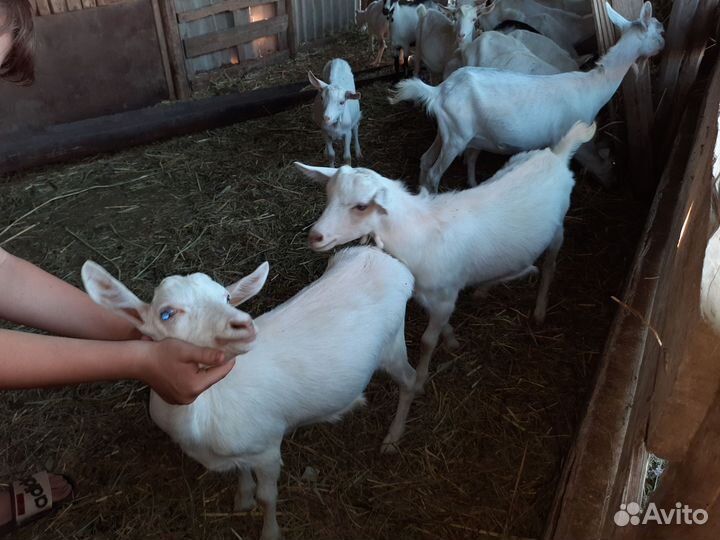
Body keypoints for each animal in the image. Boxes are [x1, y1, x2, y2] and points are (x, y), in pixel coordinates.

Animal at [82, 246, 417, 540]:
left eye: (227, 297)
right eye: (167, 314)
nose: (243, 325)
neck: (202, 415)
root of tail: (380, 257)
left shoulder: (267, 447)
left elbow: (268, 496)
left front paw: (270, 532)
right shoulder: (241, 449)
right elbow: (241, 472)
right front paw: (242, 499)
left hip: (392, 344)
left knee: (410, 381)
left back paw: (393, 437)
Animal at [296, 121, 595, 392]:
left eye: (361, 206)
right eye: (328, 196)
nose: (316, 236)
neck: (419, 233)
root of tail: (557, 155)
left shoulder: (444, 294)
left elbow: (428, 340)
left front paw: (422, 376)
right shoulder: (431, 294)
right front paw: (451, 339)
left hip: (558, 229)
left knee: (550, 264)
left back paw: (540, 308)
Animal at [389, 1, 664, 192]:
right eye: (657, 31)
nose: (615, 185)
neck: (592, 86)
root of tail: (438, 91)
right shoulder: (574, 140)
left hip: (446, 133)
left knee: (425, 161)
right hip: (456, 138)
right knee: (434, 172)